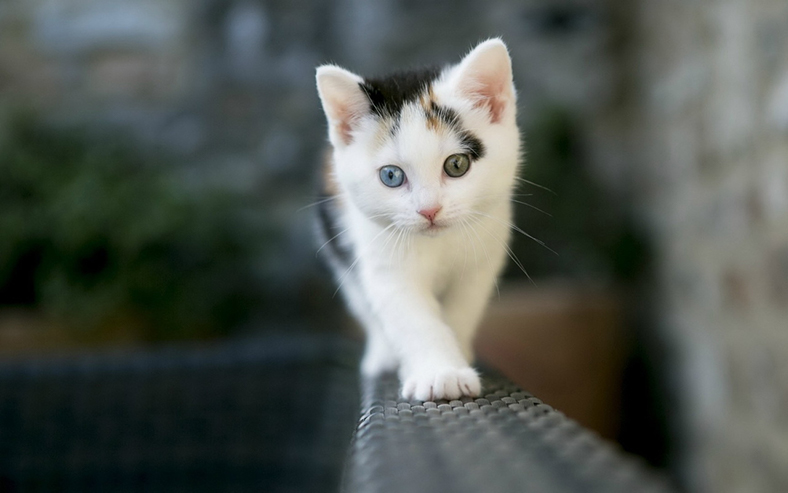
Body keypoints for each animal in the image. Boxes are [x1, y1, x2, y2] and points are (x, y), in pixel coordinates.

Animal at [314, 38, 524, 400]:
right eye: (391, 176)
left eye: (456, 165)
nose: (429, 210)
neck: (438, 243)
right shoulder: (381, 260)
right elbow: (410, 316)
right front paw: (440, 372)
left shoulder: (483, 257)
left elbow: (462, 309)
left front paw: (456, 357)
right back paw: (382, 356)